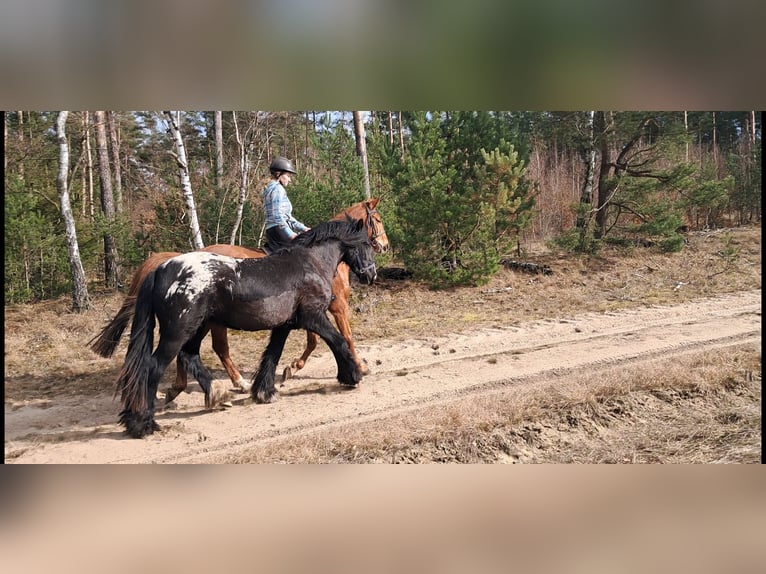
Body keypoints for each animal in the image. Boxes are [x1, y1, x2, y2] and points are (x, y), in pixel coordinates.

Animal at [90, 198, 389, 397]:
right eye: (377, 220)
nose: (383, 248)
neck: (318, 260)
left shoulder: (304, 315)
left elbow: (311, 342)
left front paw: (291, 369)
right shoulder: (335, 308)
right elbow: (343, 337)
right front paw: (357, 368)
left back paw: (182, 387)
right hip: (210, 323)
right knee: (217, 349)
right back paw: (234, 384)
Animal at [115, 217, 377, 438]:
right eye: (367, 242)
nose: (371, 274)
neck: (310, 264)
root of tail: (160, 271)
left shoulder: (284, 325)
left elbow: (272, 355)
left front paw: (264, 391)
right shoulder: (313, 317)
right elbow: (339, 340)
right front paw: (352, 375)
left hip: (199, 327)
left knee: (190, 357)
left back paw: (218, 396)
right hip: (177, 332)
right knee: (154, 366)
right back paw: (143, 423)